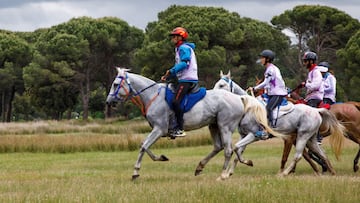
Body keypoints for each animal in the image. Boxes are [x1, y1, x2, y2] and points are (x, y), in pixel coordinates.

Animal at [105, 67, 286, 180]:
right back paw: (201, 167)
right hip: (214, 126)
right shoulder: (158, 131)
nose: (108, 102)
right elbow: (145, 146)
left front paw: (136, 172)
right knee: (220, 147)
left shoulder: (159, 129)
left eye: (115, 84)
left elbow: (143, 147)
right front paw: (161, 157)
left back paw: (223, 175)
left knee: (229, 149)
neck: (152, 95)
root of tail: (239, 97)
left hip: (225, 127)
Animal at [214, 70, 346, 177]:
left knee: (299, 155)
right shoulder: (244, 135)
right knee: (322, 154)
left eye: (221, 85)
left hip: (303, 136)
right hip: (311, 139)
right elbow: (238, 153)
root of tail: (316, 110)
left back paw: (284, 173)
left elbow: (236, 148)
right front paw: (229, 173)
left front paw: (246, 163)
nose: (212, 95)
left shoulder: (253, 135)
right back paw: (332, 173)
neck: (248, 107)